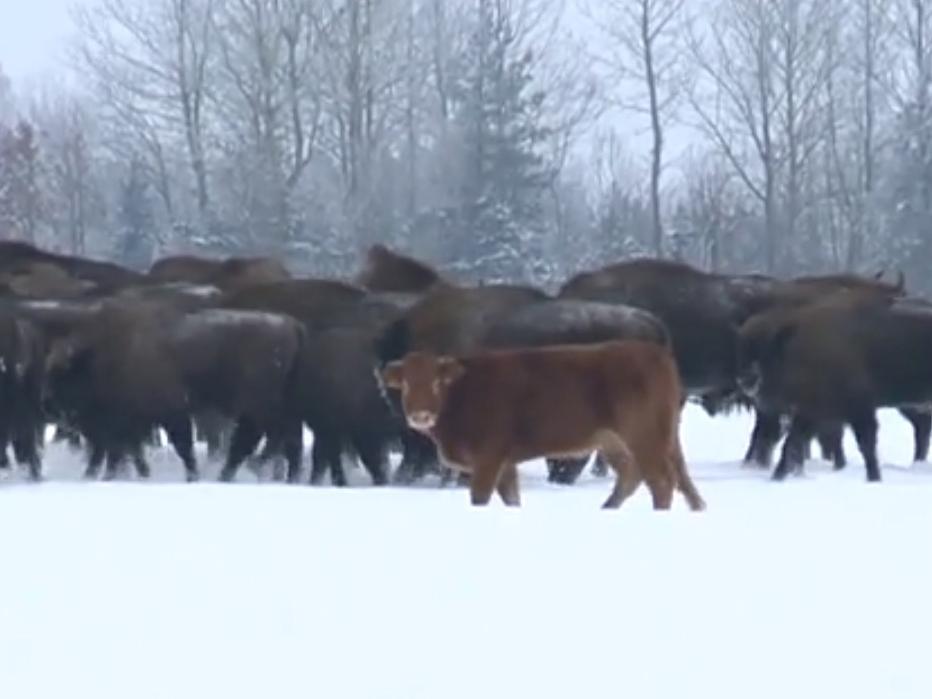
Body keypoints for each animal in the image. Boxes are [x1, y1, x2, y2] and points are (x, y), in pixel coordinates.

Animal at [378, 342, 708, 512]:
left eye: (437, 382)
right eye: (406, 384)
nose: (420, 415)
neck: (462, 392)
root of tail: (655, 352)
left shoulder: (488, 459)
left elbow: (480, 497)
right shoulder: (505, 463)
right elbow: (511, 498)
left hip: (644, 435)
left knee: (661, 481)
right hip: (616, 441)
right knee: (634, 476)